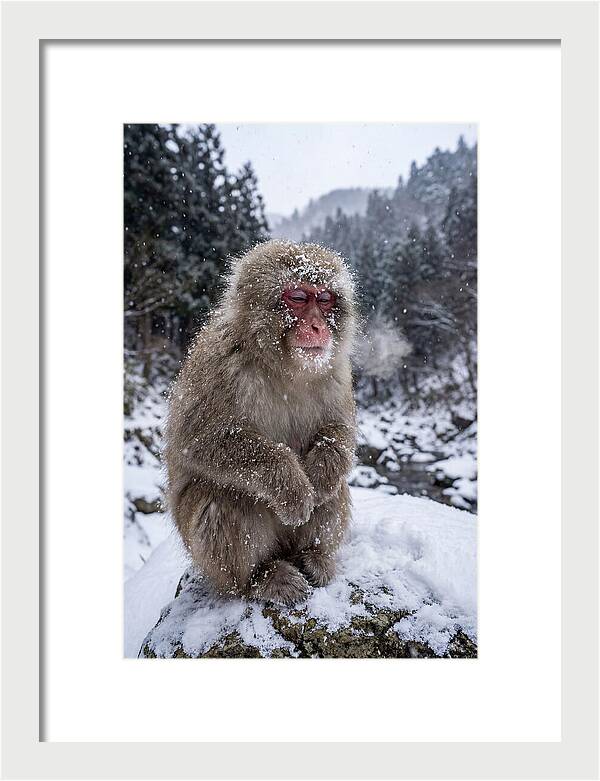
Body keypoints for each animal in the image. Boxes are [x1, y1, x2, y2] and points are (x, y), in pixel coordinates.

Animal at [164, 240, 358, 605]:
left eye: (325, 299)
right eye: (298, 297)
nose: (318, 327)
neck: (283, 367)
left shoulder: (337, 372)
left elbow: (340, 431)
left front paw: (321, 475)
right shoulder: (218, 364)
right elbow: (198, 441)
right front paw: (293, 487)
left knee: (336, 489)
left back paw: (314, 556)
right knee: (223, 497)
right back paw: (259, 579)